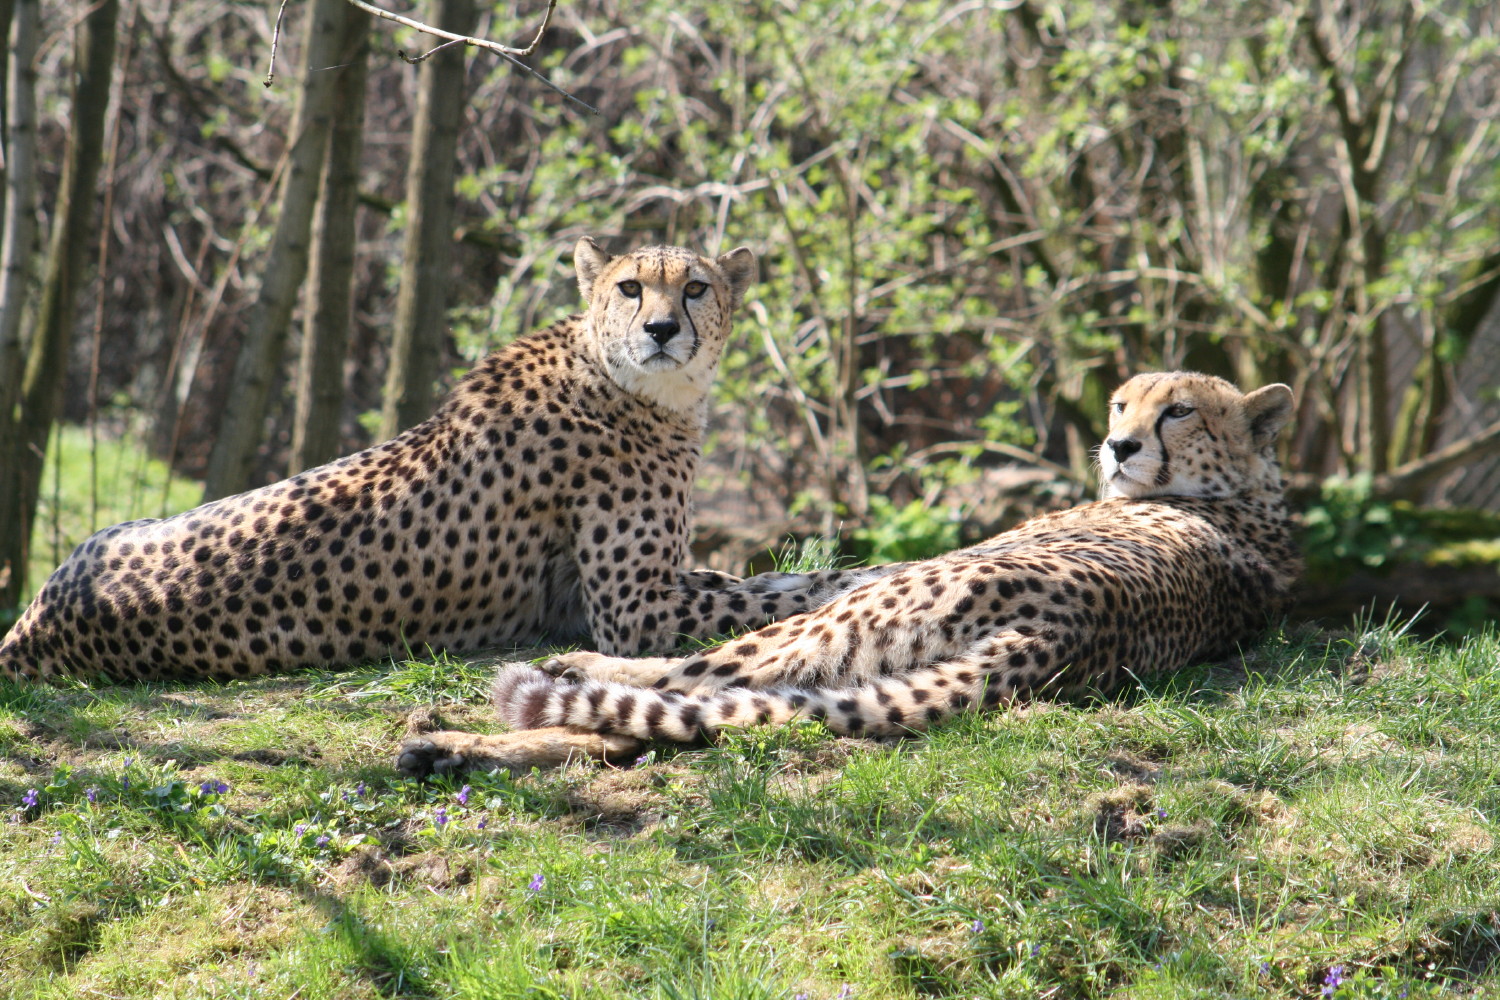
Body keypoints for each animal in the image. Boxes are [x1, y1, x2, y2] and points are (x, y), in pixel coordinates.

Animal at [0, 238, 882, 683]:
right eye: (631, 288)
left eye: (695, 287)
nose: (663, 329)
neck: (628, 381)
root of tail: (33, 622)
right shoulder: (631, 610)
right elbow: (766, 595)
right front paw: (866, 583)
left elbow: (767, 578)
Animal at [396, 371, 1302, 779]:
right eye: (1121, 404)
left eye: (1178, 410)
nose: (1119, 445)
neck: (1234, 494)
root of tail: (1062, 630)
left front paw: (582, 657)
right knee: (646, 729)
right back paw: (448, 751)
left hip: (829, 633)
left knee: (677, 687)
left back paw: (461, 731)